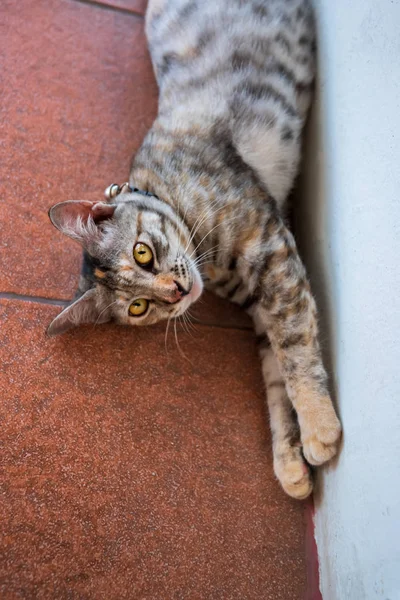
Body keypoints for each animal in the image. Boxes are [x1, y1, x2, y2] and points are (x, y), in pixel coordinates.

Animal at [47, 0, 340, 500]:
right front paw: (289, 461)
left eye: (142, 253)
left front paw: (319, 428)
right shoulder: (259, 296)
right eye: (140, 308)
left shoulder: (269, 244)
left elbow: (294, 342)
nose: (178, 292)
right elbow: (274, 370)